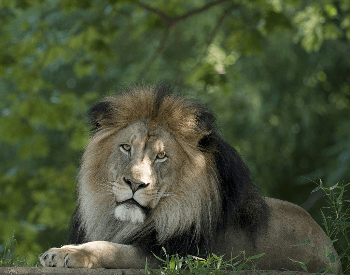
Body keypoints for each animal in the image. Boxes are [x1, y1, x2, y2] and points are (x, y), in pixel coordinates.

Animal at [39, 85, 340, 274]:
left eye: (161, 156)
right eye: (126, 148)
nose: (135, 184)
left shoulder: (173, 258)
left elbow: (112, 250)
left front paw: (66, 253)